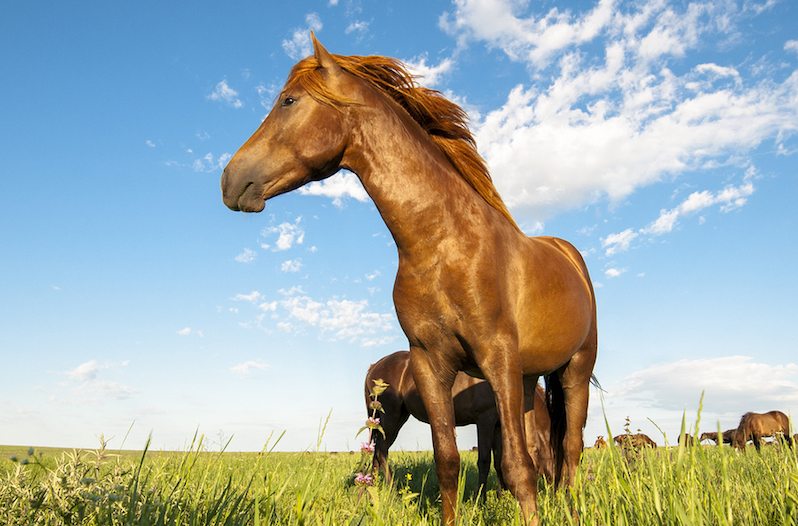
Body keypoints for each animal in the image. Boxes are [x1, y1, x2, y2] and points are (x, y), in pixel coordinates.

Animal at [365, 350, 554, 493]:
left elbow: (499, 462)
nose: (554, 491)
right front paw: (481, 500)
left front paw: (504, 496)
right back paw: (392, 490)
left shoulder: (497, 427)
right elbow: (484, 461)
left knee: (376, 453)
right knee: (381, 451)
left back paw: (370, 488)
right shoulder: (485, 421)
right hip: (391, 418)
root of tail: (374, 366)